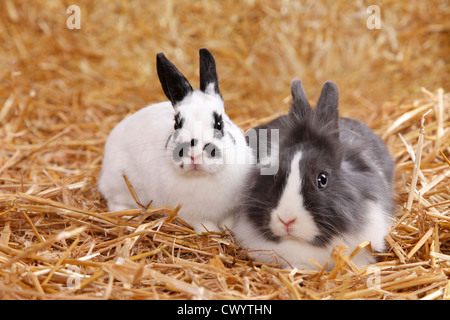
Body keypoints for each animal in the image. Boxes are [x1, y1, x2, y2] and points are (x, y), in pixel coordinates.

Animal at [98, 48, 253, 232]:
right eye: (177, 124)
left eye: (219, 123)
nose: (194, 156)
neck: (202, 176)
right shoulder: (192, 216)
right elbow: (205, 226)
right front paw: (213, 233)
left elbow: (228, 222)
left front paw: (228, 231)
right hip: (120, 183)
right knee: (116, 203)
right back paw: (127, 217)